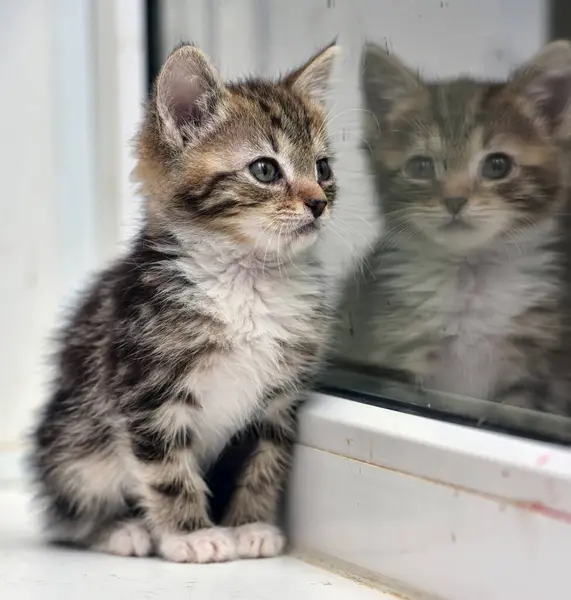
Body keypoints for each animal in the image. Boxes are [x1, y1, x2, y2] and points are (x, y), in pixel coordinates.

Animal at [30, 42, 340, 564]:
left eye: (323, 169)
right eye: (264, 169)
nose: (319, 203)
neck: (247, 280)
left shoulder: (277, 402)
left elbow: (265, 462)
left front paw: (249, 524)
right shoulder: (146, 392)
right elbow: (167, 471)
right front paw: (191, 534)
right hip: (76, 444)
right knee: (66, 513)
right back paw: (118, 529)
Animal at [338, 41, 571, 422]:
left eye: (497, 165)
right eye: (420, 167)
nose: (454, 200)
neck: (468, 274)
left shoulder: (531, 373)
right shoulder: (397, 363)